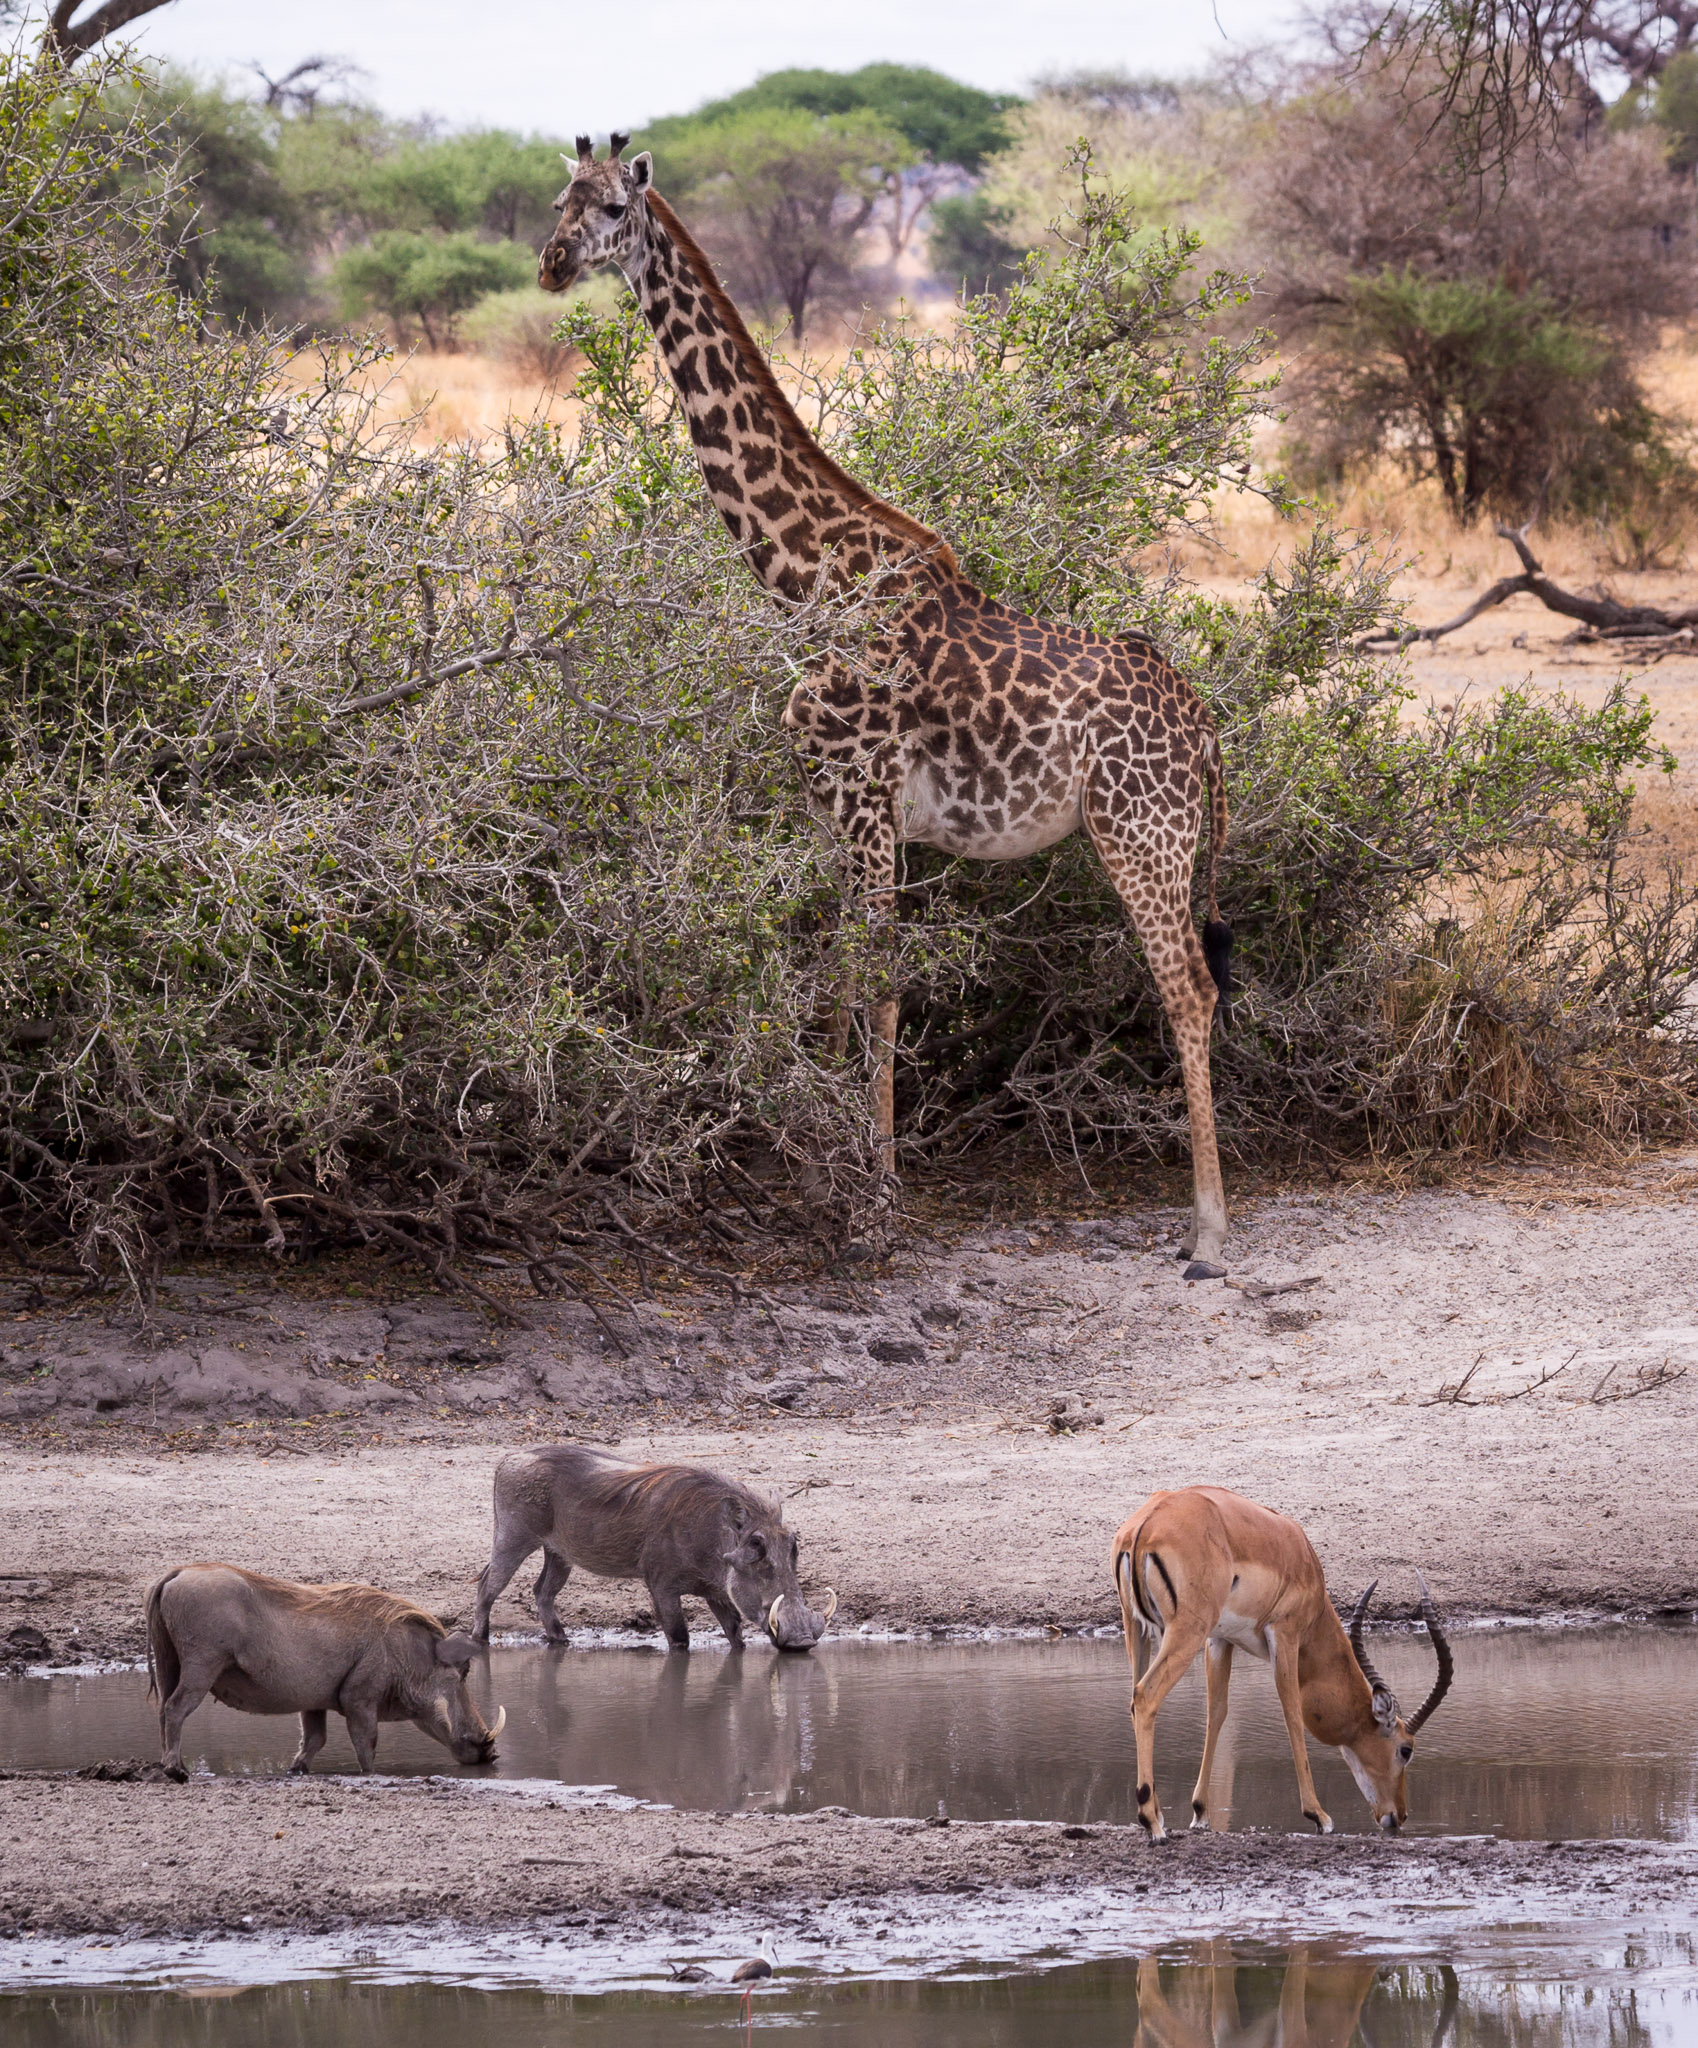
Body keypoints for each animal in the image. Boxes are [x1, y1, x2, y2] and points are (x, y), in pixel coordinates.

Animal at [540, 136, 1228, 1269]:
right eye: (558, 201)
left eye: (606, 209)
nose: (552, 264)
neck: (804, 582)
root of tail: (1208, 729)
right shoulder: (830, 800)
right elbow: (832, 977)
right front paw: (819, 1169)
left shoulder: (868, 799)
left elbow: (882, 984)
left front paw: (877, 1204)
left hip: (1142, 830)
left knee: (1188, 986)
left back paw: (1210, 1230)